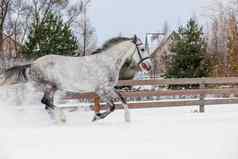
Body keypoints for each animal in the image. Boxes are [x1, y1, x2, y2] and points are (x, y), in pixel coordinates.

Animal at [0, 35, 152, 123]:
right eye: (142, 49)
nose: (149, 66)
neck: (106, 62)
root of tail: (32, 65)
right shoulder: (101, 90)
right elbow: (112, 106)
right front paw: (96, 117)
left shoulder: (109, 88)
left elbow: (123, 99)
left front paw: (127, 119)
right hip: (50, 86)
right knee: (46, 102)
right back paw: (62, 117)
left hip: (53, 88)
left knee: (47, 104)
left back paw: (57, 119)